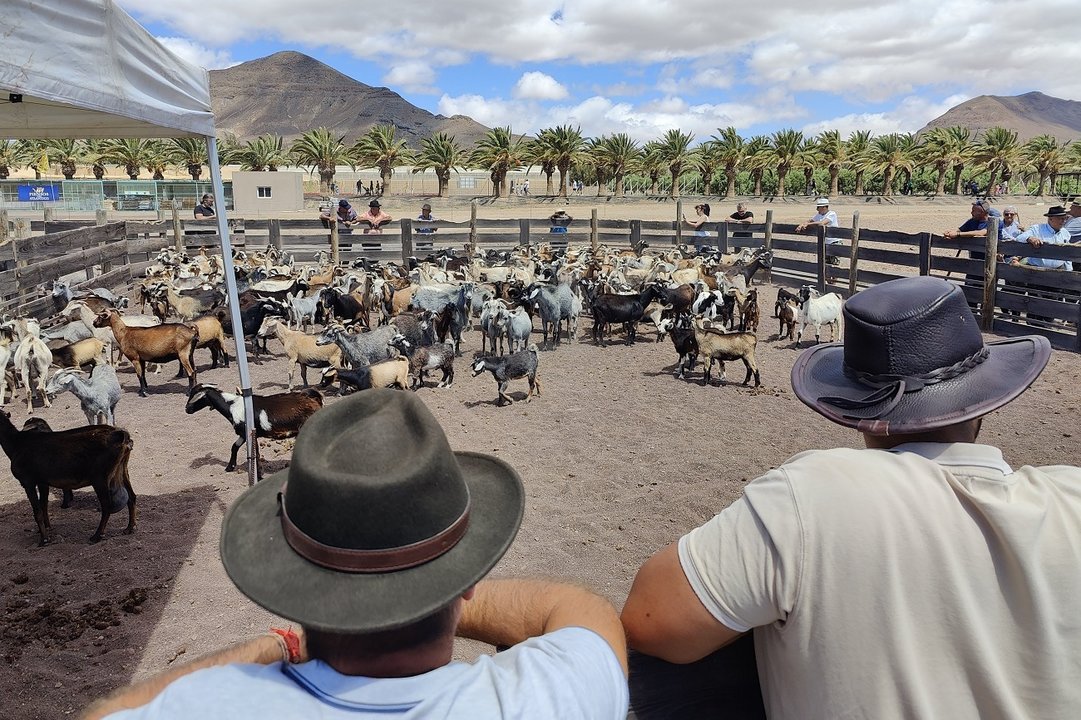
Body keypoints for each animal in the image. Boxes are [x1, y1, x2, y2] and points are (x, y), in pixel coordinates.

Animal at [0, 408, 136, 544]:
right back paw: (130, 528)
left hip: (100, 477)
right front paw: (47, 528)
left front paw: (44, 540)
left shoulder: (27, 482)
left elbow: (37, 510)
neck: (16, 443)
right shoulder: (42, 482)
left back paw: (96, 536)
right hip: (122, 468)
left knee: (107, 506)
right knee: (131, 497)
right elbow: (44, 505)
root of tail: (120, 435)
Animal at [185, 384, 322, 473]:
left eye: (196, 396)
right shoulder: (243, 433)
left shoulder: (250, 432)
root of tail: (312, 397)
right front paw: (230, 467)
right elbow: (234, 447)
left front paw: (259, 476)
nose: (187, 409)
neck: (232, 406)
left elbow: (255, 454)